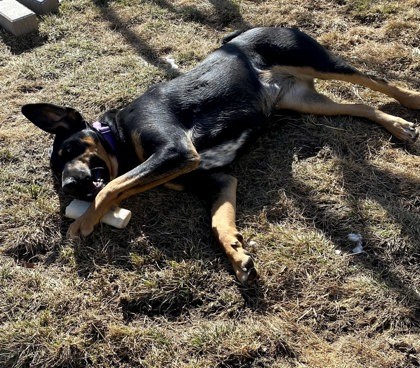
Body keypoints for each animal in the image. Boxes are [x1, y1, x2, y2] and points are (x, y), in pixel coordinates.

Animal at [23, 27, 420, 284]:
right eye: (56, 171)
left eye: (71, 149)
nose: (69, 186)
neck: (118, 135)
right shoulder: (217, 180)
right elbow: (218, 224)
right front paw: (236, 254)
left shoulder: (176, 151)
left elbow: (112, 186)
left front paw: (83, 222)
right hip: (305, 101)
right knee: (360, 105)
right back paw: (398, 126)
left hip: (317, 61)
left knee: (377, 81)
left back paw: (411, 101)